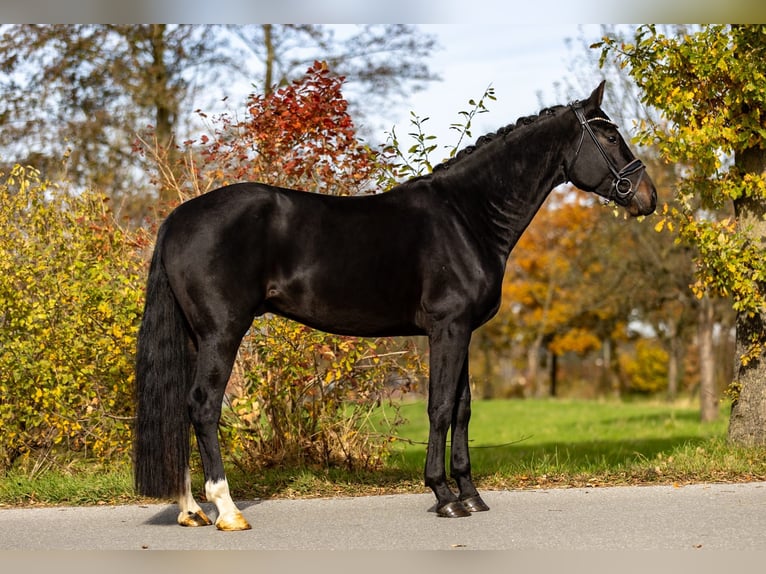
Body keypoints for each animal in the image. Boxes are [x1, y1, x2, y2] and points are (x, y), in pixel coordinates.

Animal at [134, 81, 656, 530]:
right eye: (610, 135)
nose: (647, 197)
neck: (466, 217)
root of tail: (179, 217)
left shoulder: (464, 331)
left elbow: (463, 408)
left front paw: (471, 494)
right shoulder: (448, 327)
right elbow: (440, 407)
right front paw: (444, 497)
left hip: (195, 335)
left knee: (181, 409)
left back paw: (190, 510)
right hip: (222, 332)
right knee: (203, 406)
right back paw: (227, 510)